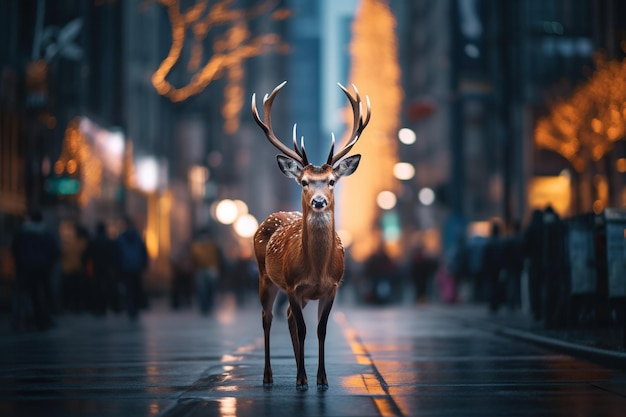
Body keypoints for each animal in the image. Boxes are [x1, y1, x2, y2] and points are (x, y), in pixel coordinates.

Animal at [249, 81, 368, 390]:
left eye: (331, 181)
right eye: (303, 182)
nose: (318, 201)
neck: (315, 271)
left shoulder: (333, 287)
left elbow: (320, 329)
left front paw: (321, 379)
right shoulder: (292, 286)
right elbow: (303, 329)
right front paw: (302, 378)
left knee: (289, 317)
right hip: (265, 276)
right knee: (267, 317)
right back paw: (268, 376)